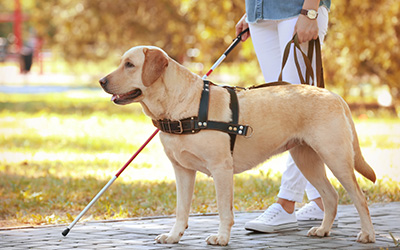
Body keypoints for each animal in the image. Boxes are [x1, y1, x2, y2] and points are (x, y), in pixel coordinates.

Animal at [98, 46, 376, 245]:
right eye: (122, 62)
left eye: (130, 65)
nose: (101, 81)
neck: (181, 107)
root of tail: (335, 95)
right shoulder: (182, 170)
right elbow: (181, 210)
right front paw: (174, 236)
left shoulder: (221, 169)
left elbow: (224, 210)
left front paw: (221, 238)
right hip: (306, 159)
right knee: (331, 196)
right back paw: (323, 230)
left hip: (336, 157)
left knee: (359, 197)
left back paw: (368, 235)